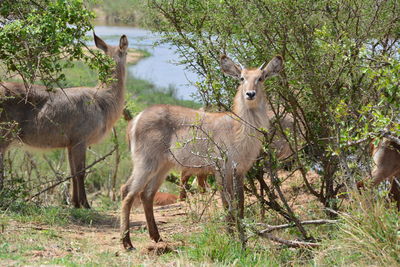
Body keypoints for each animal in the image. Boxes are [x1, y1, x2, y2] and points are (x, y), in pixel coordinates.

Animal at [120, 53, 282, 250]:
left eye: (261, 78)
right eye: (242, 78)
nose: (250, 94)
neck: (238, 128)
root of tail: (135, 119)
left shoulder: (240, 171)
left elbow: (240, 205)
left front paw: (242, 240)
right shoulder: (221, 169)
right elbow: (227, 205)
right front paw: (232, 240)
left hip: (163, 166)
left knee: (146, 194)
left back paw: (157, 238)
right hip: (146, 162)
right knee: (127, 191)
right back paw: (127, 243)